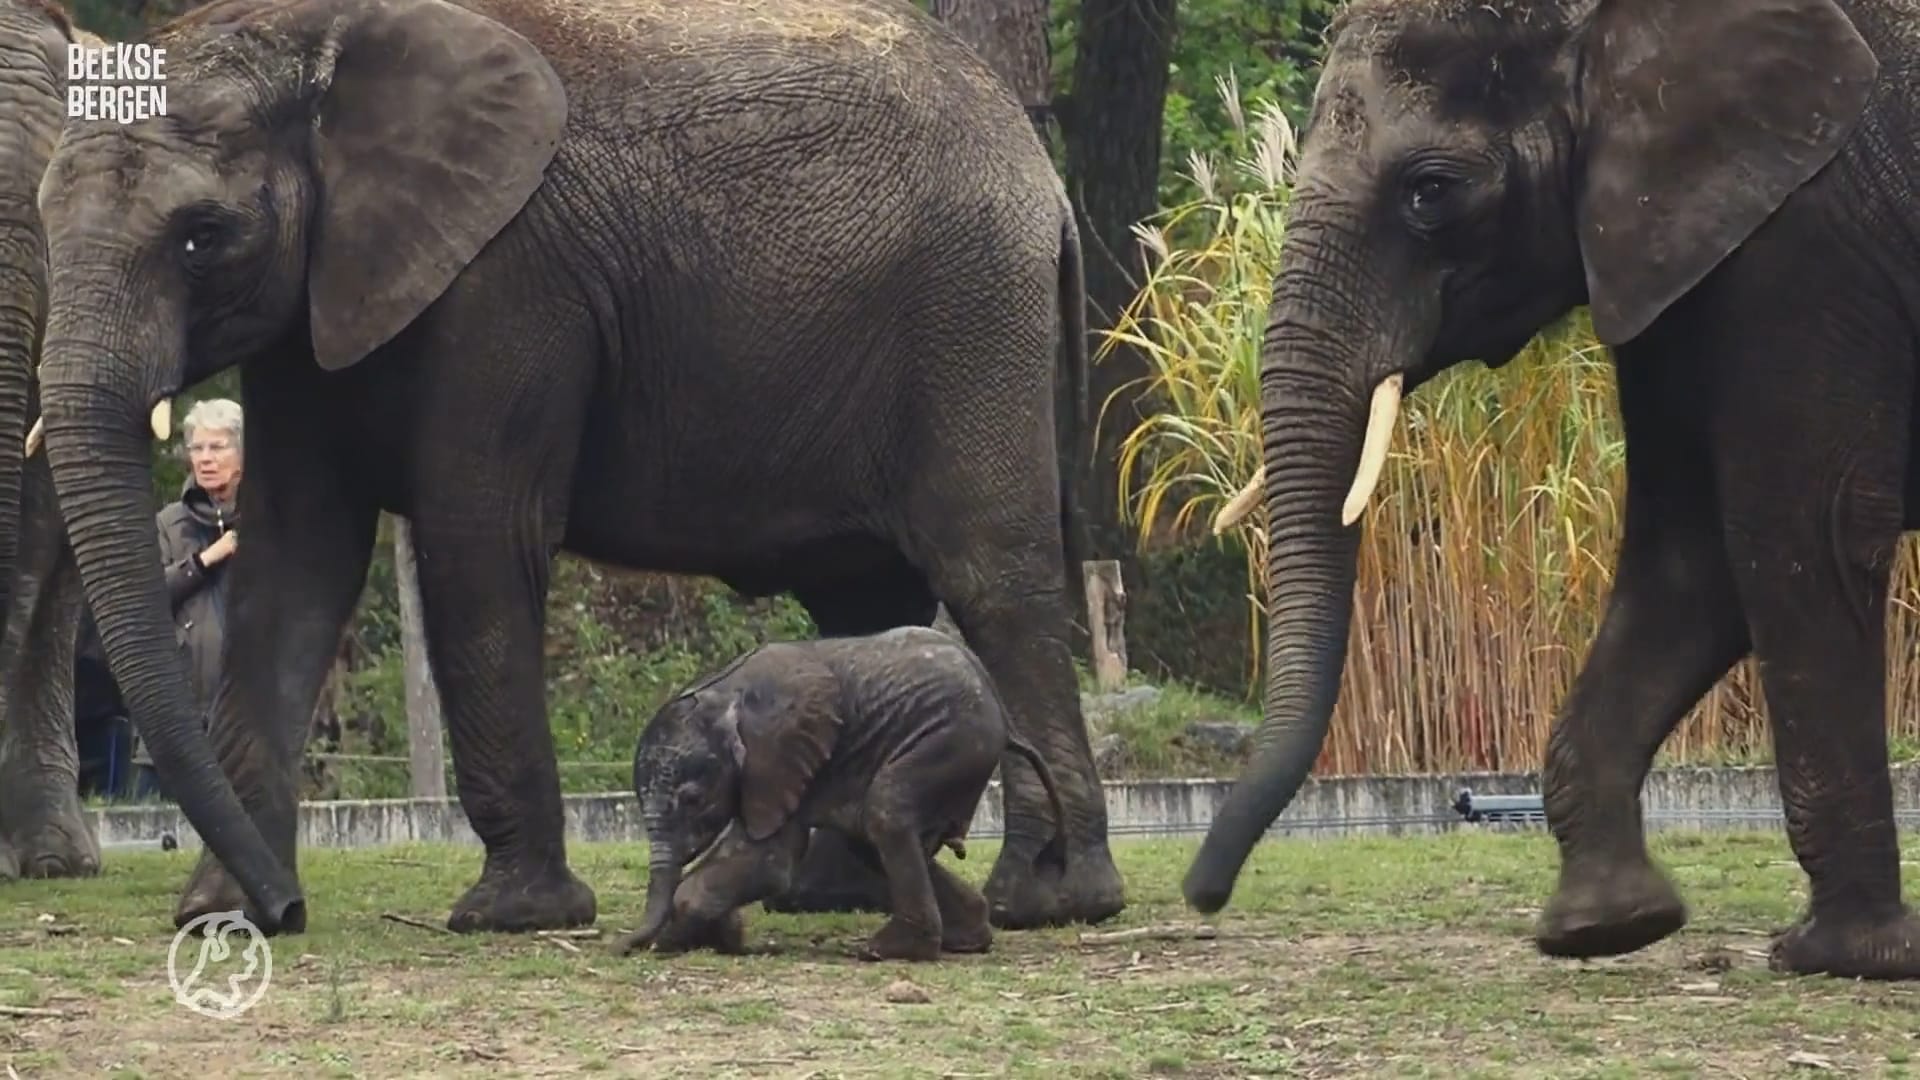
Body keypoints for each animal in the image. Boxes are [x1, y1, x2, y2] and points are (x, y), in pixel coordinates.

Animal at [614, 622, 1067, 957]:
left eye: (692, 799)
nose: (621, 948)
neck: (722, 694)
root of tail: (1003, 712)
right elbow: (749, 849)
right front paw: (713, 936)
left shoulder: (780, 755)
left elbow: (771, 860)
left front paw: (687, 935)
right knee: (869, 840)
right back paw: (967, 939)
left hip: (956, 740)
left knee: (885, 815)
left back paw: (885, 950)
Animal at [1190, 0, 1912, 980]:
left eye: (1430, 191)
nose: (1202, 895)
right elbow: (1693, 560)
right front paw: (1607, 924)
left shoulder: (1808, 243)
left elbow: (1802, 530)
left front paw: (1843, 954)